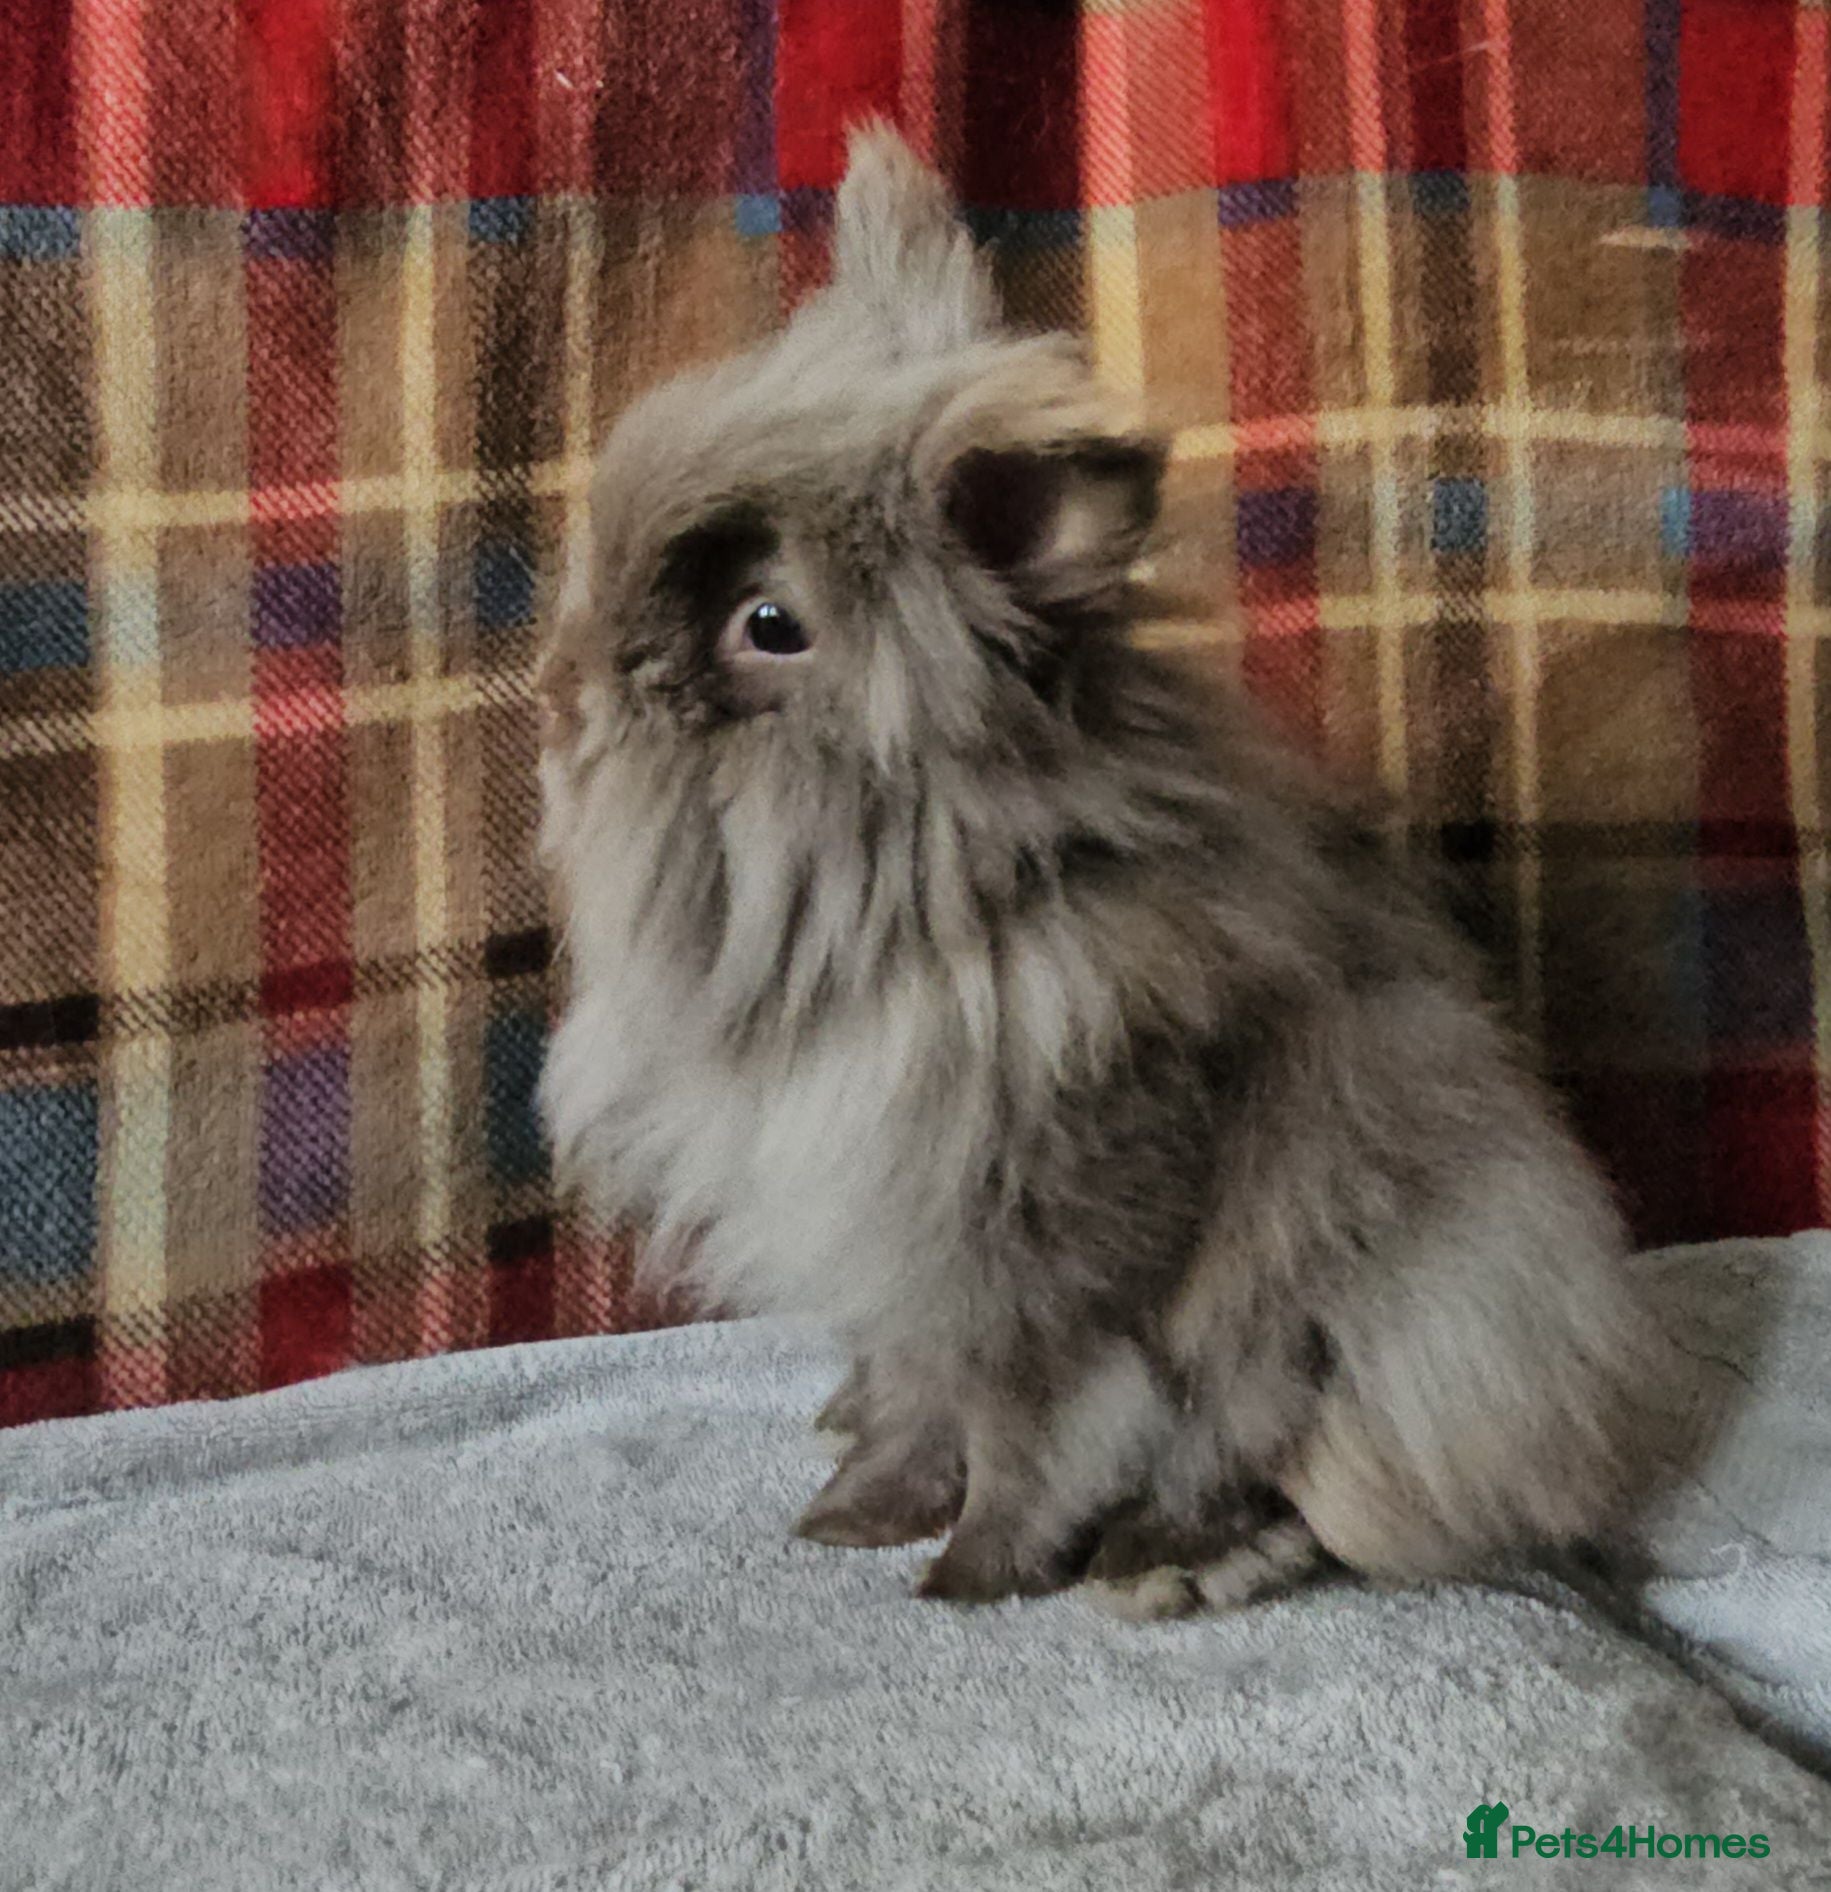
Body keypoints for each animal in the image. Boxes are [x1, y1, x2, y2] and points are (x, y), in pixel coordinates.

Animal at [537, 124, 1654, 1613]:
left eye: (768, 624)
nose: (559, 696)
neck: (932, 913)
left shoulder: (1040, 1260)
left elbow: (1041, 1423)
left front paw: (973, 1576)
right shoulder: (904, 1271)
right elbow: (915, 1405)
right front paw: (850, 1518)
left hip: (1388, 1324)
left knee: (1266, 1456)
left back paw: (1167, 1565)